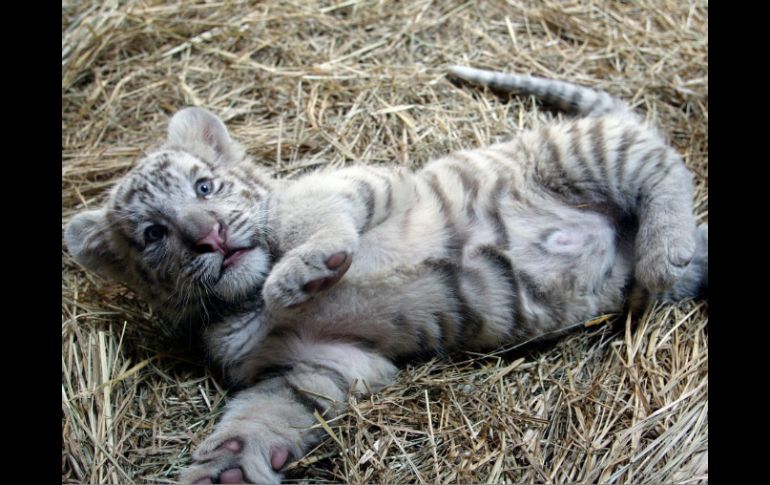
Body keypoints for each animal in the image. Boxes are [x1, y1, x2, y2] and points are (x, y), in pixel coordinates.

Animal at [64, 66, 707, 484]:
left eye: (204, 187)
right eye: (154, 234)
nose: (211, 236)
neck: (242, 301)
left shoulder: (344, 184)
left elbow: (309, 222)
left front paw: (299, 274)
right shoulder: (325, 363)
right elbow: (264, 411)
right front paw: (226, 466)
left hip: (575, 154)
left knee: (662, 163)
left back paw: (664, 249)